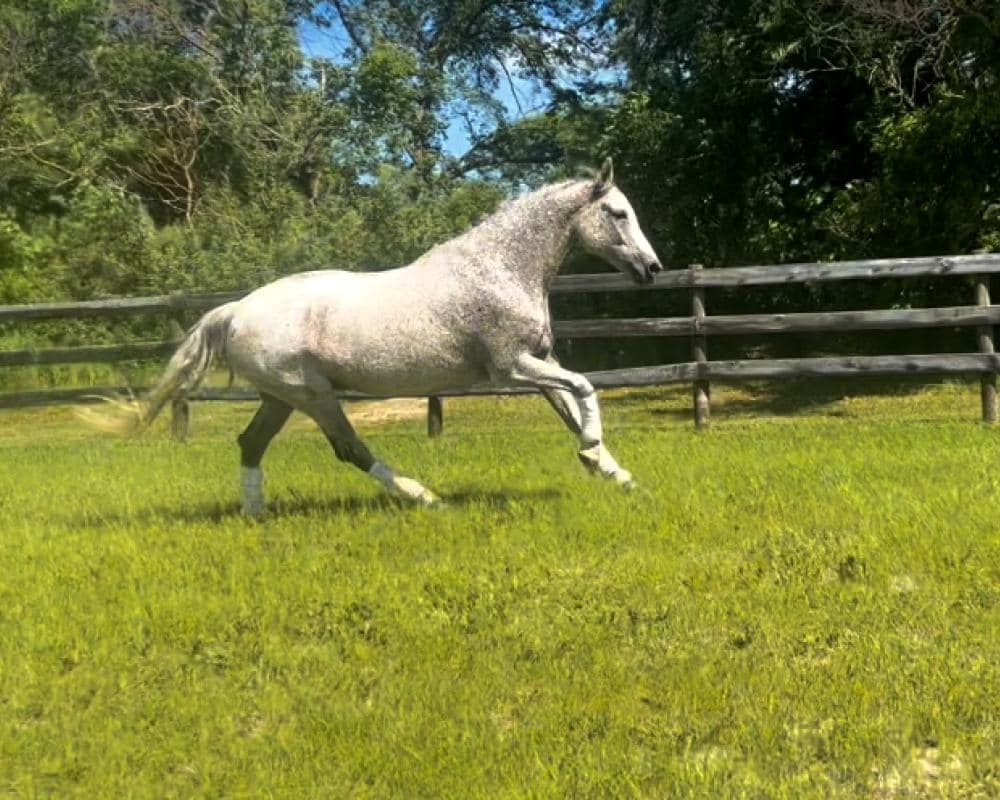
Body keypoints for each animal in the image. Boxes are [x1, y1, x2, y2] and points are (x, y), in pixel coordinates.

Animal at [86, 159, 662, 515]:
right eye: (617, 213)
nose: (652, 269)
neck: (499, 269)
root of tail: (236, 311)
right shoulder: (511, 366)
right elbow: (585, 388)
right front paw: (593, 454)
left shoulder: (540, 363)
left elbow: (572, 406)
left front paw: (616, 474)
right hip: (313, 396)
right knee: (349, 449)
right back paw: (425, 497)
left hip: (280, 396)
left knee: (251, 443)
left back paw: (256, 516)